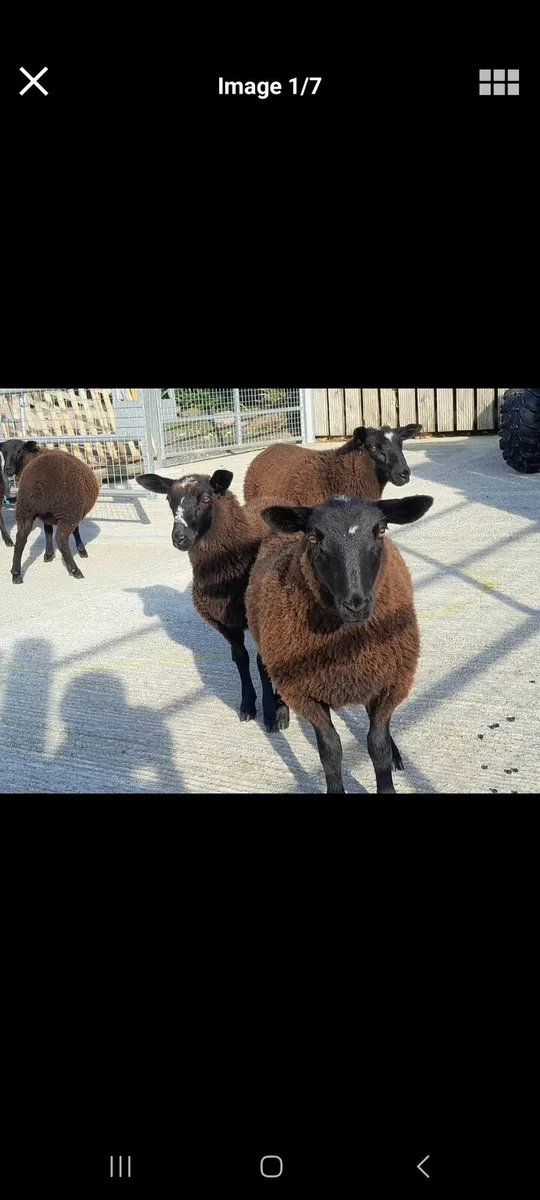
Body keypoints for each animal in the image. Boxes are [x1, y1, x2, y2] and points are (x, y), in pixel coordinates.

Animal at [0, 438, 100, 584]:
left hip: (25, 510)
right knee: (61, 539)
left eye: (20, 451)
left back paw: (16, 574)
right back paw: (75, 570)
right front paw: (81, 550)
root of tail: (38, 483)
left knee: (20, 540)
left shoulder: (46, 515)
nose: (7, 470)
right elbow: (75, 531)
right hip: (68, 510)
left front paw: (48, 554)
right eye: (3, 453)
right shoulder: (75, 510)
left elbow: (47, 532)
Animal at [136, 469, 290, 732]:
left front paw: (273, 713)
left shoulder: (259, 618)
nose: (180, 538)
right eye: (168, 499)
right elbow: (241, 659)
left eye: (207, 498)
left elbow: (261, 663)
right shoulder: (224, 623)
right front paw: (247, 705)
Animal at [245, 492, 433, 794]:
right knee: (263, 664)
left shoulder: (390, 681)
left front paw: (388, 770)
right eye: (313, 537)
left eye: (381, 531)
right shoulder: (305, 694)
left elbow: (377, 744)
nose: (355, 604)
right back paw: (277, 713)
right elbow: (331, 750)